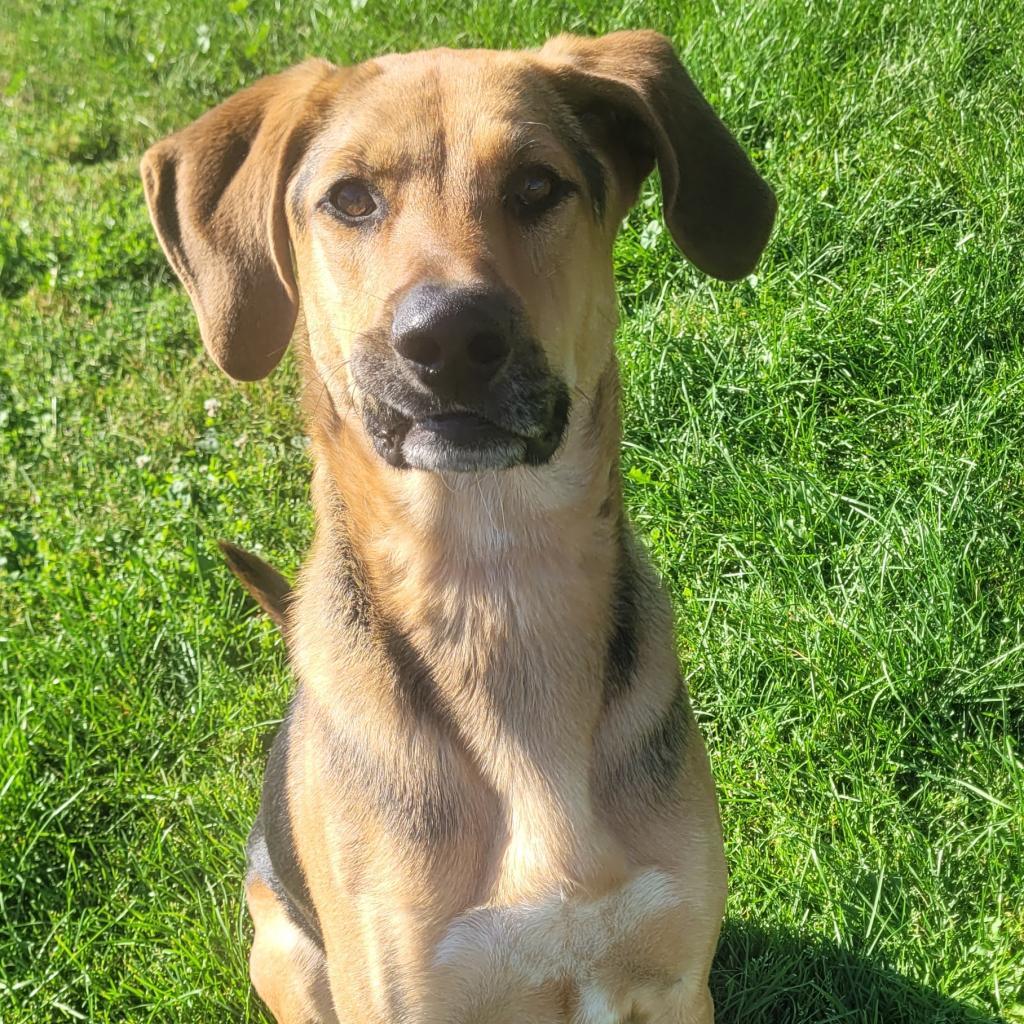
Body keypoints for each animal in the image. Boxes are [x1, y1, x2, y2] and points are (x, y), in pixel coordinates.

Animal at [140, 32, 770, 1024]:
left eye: (538, 184)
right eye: (349, 199)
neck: (492, 584)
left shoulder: (674, 982)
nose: (449, 339)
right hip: (284, 954)